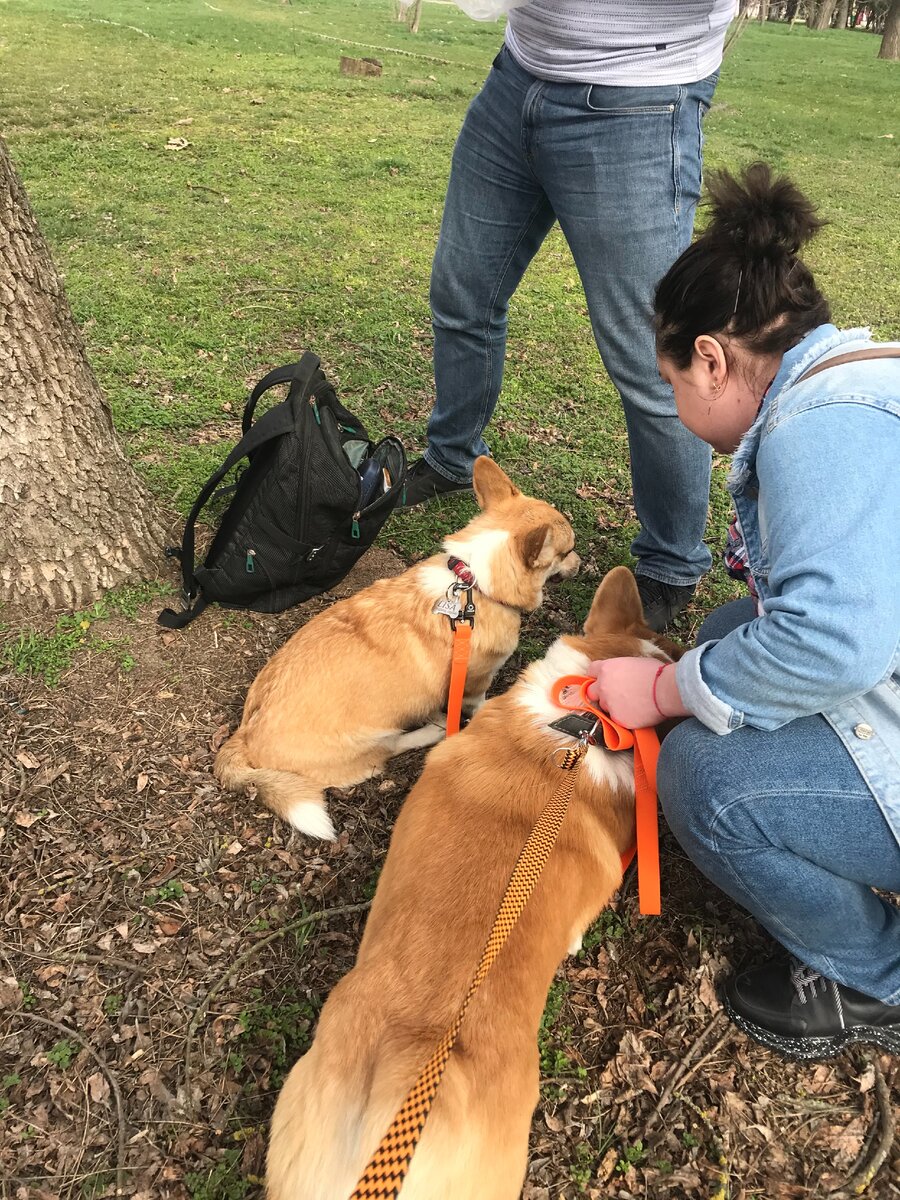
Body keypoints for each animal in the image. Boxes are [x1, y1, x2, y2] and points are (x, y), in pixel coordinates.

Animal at [214, 453, 580, 840]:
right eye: (568, 551)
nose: (582, 563)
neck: (473, 583)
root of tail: (244, 738)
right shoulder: (477, 681)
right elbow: (479, 702)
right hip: (374, 737)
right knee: (391, 748)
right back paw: (432, 729)